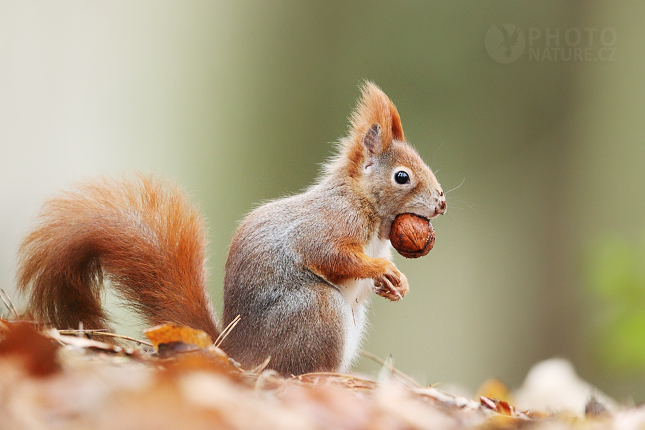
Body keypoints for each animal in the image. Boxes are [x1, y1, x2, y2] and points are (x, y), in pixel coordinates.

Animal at [17, 82, 446, 374]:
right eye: (402, 177)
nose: (442, 202)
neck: (367, 208)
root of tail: (238, 352)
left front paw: (396, 285)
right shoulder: (328, 224)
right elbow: (331, 255)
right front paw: (382, 269)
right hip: (318, 312)